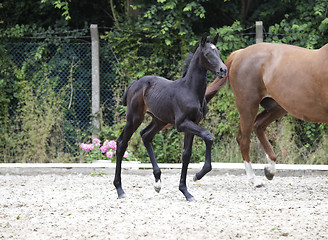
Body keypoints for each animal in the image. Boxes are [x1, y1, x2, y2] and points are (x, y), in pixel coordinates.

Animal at [114, 33, 227, 201]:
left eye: (218, 52)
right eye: (207, 54)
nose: (223, 70)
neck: (190, 90)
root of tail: (135, 83)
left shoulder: (192, 123)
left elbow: (186, 154)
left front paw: (186, 191)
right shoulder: (182, 124)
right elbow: (208, 135)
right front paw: (197, 175)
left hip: (159, 121)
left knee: (145, 136)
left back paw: (157, 182)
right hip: (134, 118)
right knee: (122, 143)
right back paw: (120, 189)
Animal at [206, 42, 328, 187]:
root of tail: (239, 53)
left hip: (277, 106)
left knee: (258, 125)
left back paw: (270, 170)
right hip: (248, 106)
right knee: (244, 139)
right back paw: (254, 179)